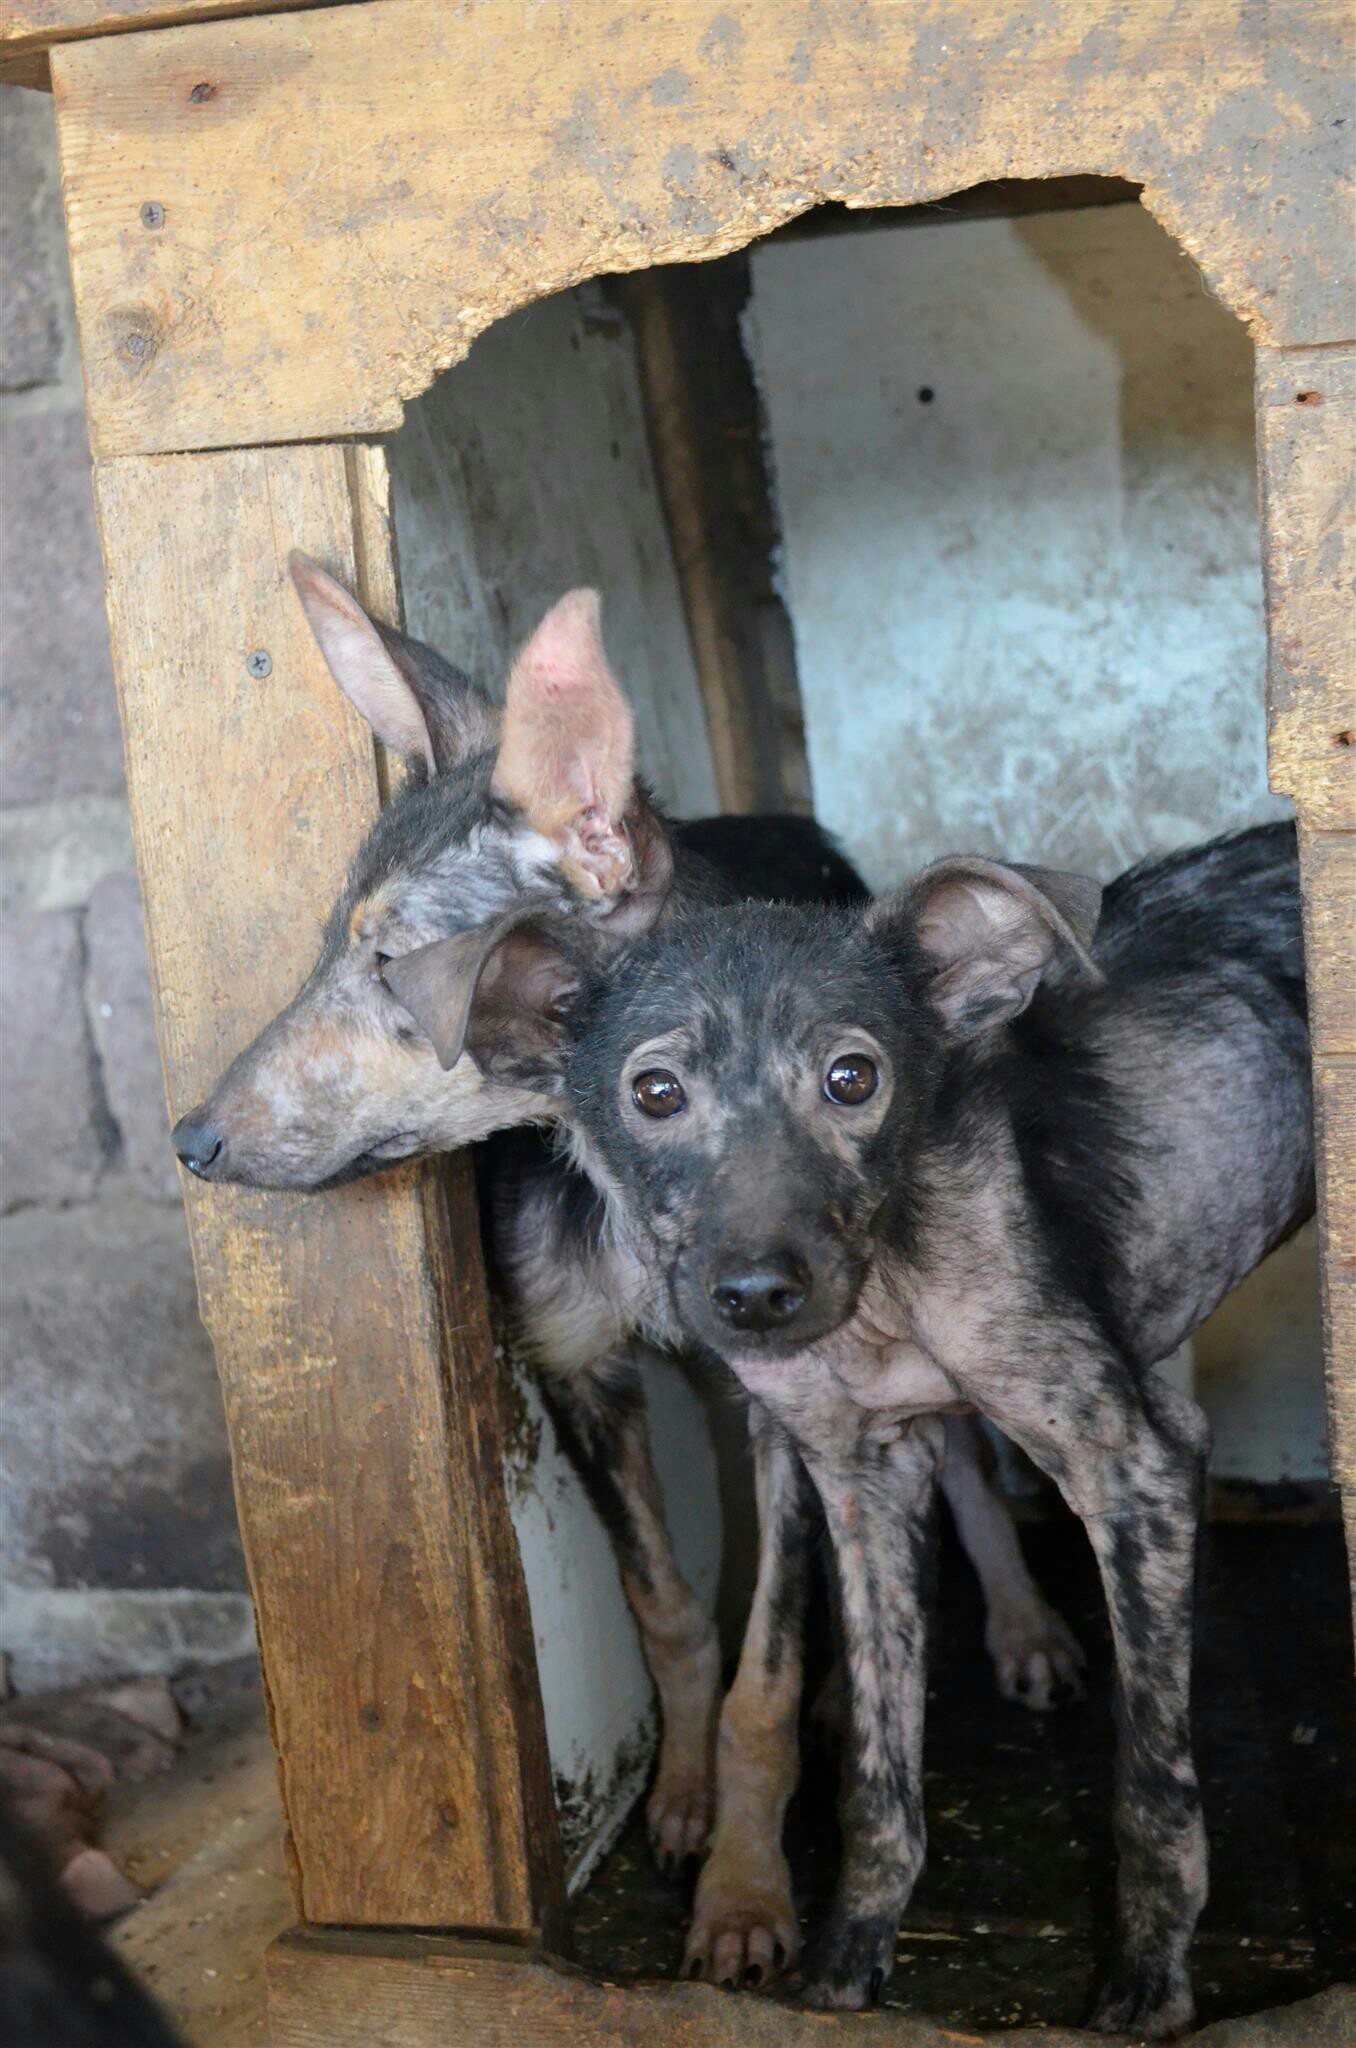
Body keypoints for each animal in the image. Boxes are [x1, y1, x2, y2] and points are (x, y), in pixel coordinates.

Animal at [180, 561, 1089, 1982]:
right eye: (333, 940)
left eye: (392, 965)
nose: (191, 1140)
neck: (625, 1184)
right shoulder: (578, 1370)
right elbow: (669, 1606)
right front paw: (686, 1798)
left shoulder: (791, 1379)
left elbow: (767, 1662)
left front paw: (745, 1893)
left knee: (945, 1461)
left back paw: (1013, 1625)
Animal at [428, 819, 1319, 2031]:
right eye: (654, 1091)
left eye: (853, 1078)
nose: (756, 1297)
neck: (890, 1285)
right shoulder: (857, 1475)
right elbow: (876, 1775)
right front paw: (843, 1963)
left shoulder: (1138, 1461)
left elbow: (1150, 1781)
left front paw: (1146, 1980)